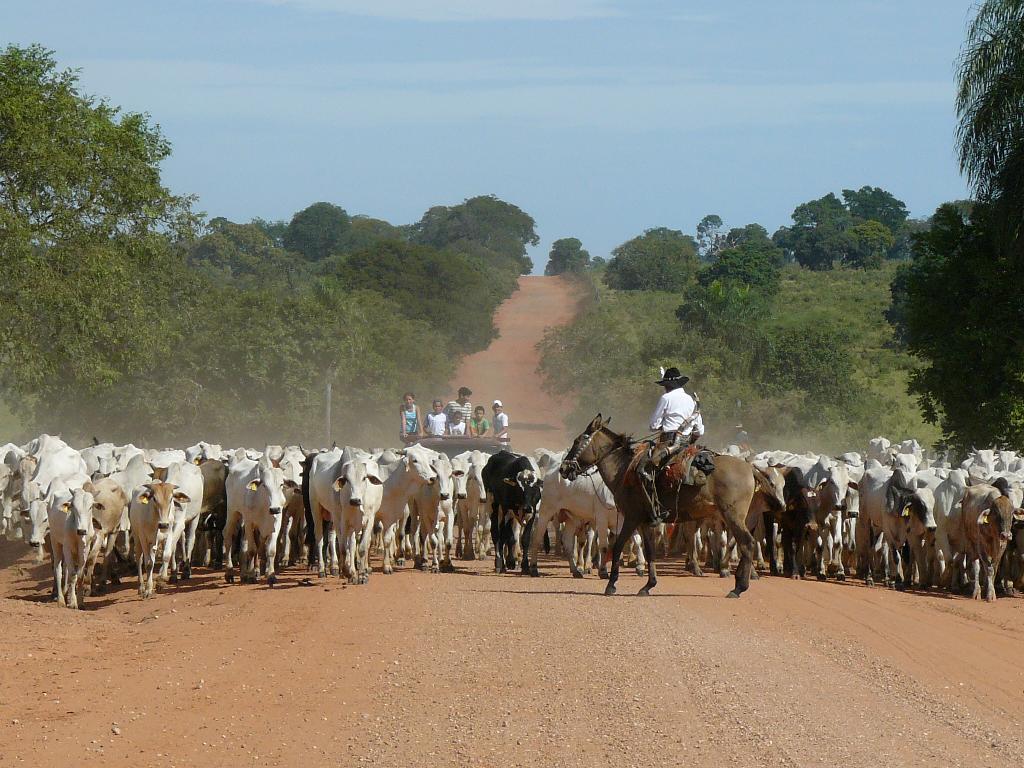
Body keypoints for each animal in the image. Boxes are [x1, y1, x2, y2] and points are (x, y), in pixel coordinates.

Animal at [561, 415, 761, 602]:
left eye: (577, 441)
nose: (563, 468)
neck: (624, 470)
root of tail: (749, 467)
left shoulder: (632, 517)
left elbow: (617, 546)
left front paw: (611, 584)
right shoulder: (646, 521)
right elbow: (650, 551)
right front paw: (648, 585)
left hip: (732, 516)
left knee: (747, 543)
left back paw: (738, 587)